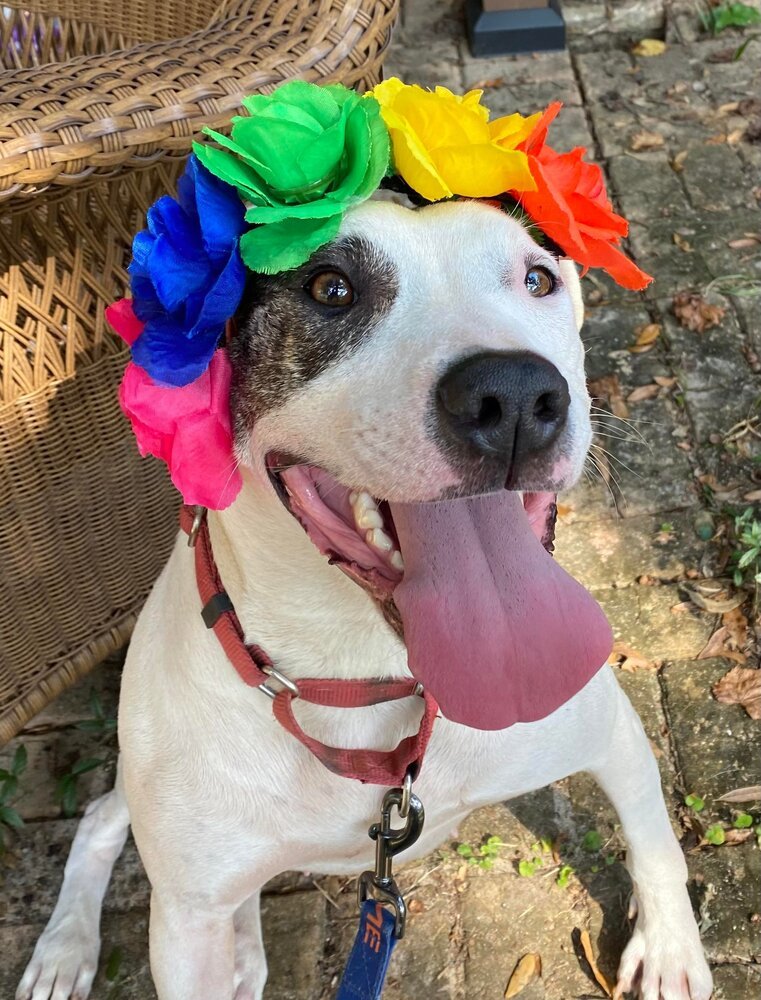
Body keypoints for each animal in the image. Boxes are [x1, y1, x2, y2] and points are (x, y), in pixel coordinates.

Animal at [16, 197, 712, 1000]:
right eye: (329, 288)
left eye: (536, 279)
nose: (511, 393)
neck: (364, 679)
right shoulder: (186, 922)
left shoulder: (609, 732)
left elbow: (654, 840)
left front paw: (669, 948)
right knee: (102, 820)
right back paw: (66, 951)